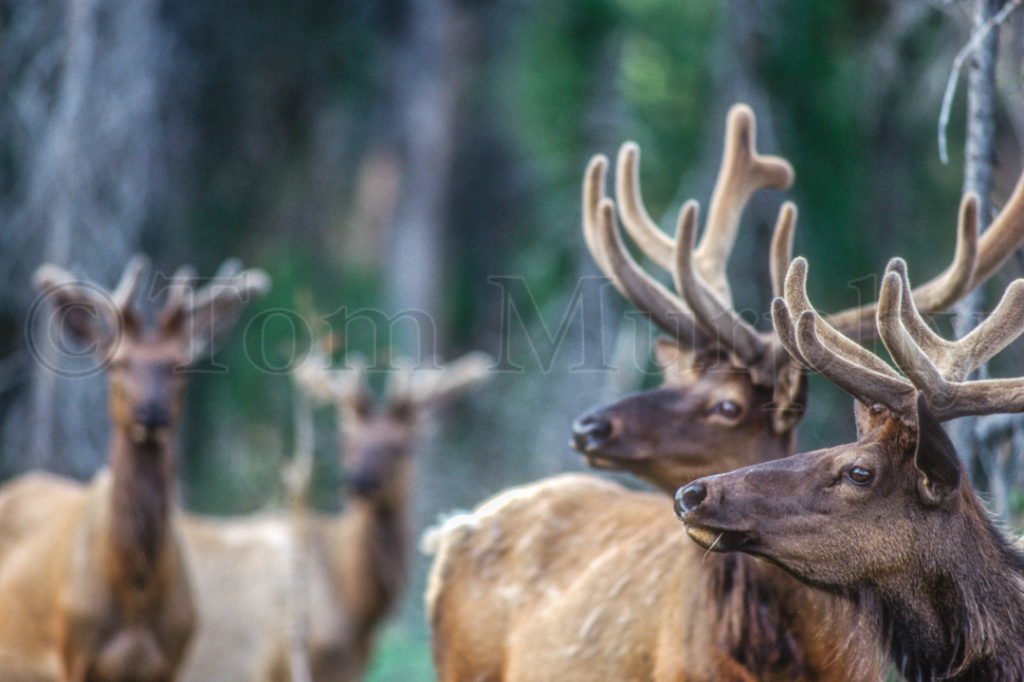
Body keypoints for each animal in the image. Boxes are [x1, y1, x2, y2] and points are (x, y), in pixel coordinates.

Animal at [0, 257, 268, 682]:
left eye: (179, 365)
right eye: (119, 362)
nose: (151, 412)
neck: (136, 592)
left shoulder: (172, 659)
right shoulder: (74, 654)